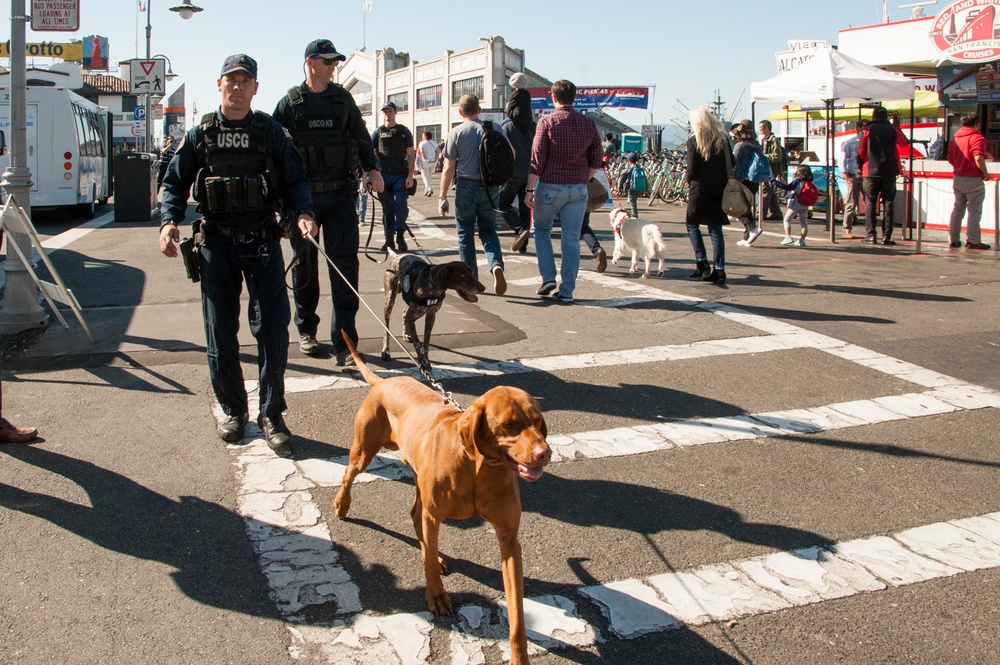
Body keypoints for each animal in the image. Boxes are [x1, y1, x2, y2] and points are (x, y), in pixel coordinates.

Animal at [336, 334, 556, 660]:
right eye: (510, 425)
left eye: (538, 422)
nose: (545, 453)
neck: (478, 468)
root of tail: (385, 382)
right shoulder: (435, 514)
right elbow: (428, 560)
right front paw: (436, 595)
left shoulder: (509, 539)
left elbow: (517, 615)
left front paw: (520, 656)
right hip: (363, 451)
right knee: (350, 475)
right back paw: (342, 503)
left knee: (416, 516)